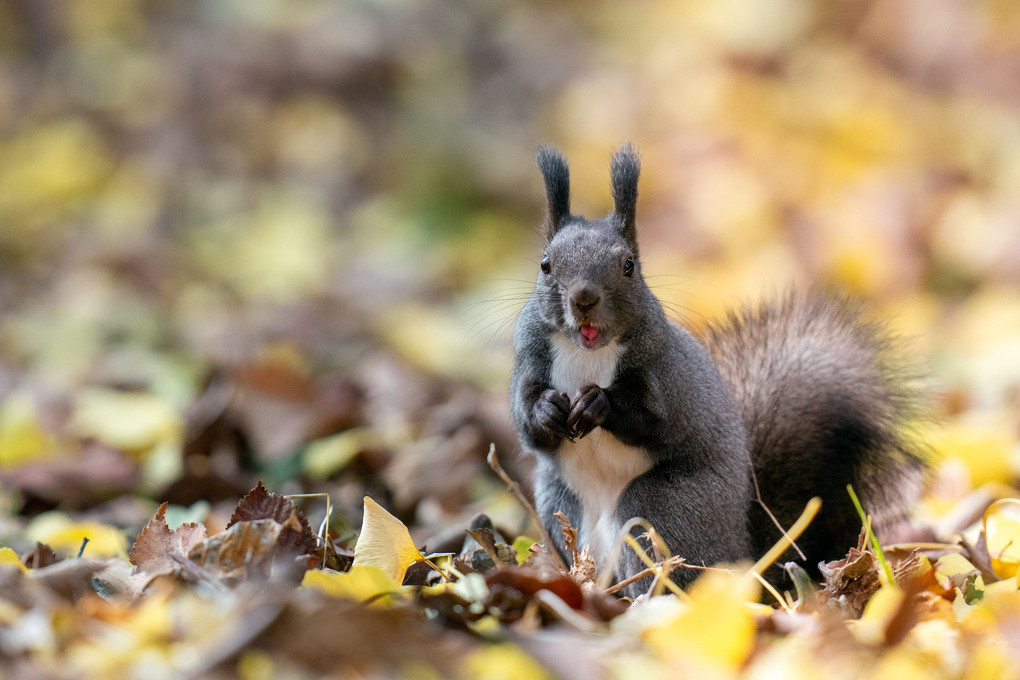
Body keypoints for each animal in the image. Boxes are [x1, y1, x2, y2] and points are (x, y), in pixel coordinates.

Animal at [510, 144, 926, 595]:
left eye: (628, 265)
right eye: (545, 265)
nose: (584, 298)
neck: (587, 352)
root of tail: (741, 553)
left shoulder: (666, 374)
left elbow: (655, 421)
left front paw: (599, 403)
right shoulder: (527, 361)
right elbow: (525, 421)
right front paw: (547, 410)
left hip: (663, 509)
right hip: (559, 502)